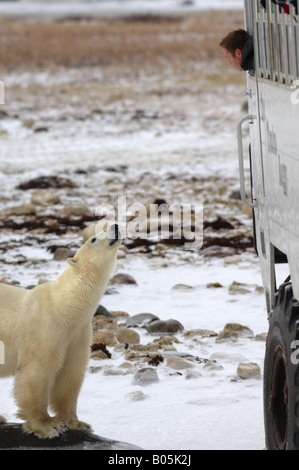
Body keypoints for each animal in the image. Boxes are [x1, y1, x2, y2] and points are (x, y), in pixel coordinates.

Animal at [0, 224, 122, 436]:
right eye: (93, 239)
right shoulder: (45, 328)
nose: (115, 226)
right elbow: (38, 372)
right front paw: (48, 425)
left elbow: (70, 374)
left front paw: (77, 422)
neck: (64, 304)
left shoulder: (77, 333)